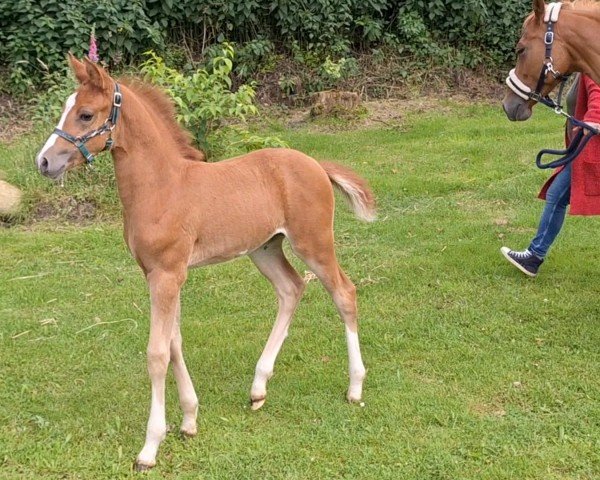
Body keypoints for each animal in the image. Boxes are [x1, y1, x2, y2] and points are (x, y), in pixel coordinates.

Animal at [34, 55, 376, 468]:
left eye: (85, 114)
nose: (44, 161)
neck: (162, 187)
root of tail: (316, 165)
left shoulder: (166, 275)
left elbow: (157, 352)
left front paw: (150, 446)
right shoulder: (160, 275)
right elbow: (175, 342)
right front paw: (189, 420)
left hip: (314, 242)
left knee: (344, 293)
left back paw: (355, 387)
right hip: (265, 248)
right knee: (291, 289)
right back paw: (258, 387)